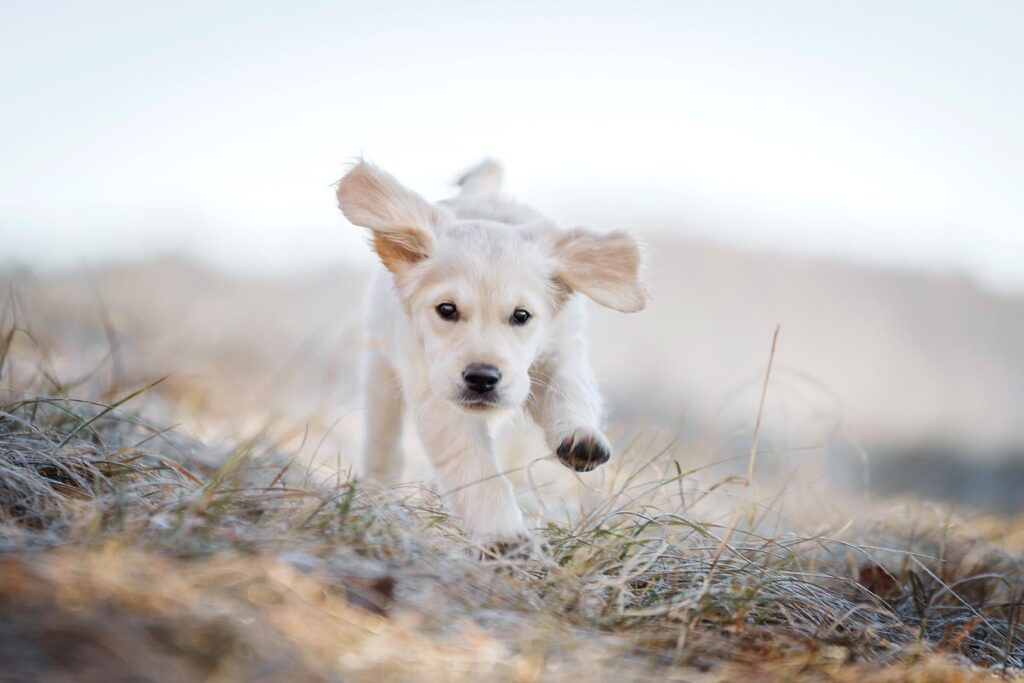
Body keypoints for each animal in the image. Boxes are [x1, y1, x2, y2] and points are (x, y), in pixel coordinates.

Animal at [335, 161, 643, 544]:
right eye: (446, 309)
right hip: (380, 365)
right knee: (383, 438)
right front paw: (504, 536)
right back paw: (379, 490)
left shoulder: (561, 348)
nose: (482, 378)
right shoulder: (436, 391)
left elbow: (570, 389)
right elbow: (473, 466)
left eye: (521, 315)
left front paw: (580, 438)